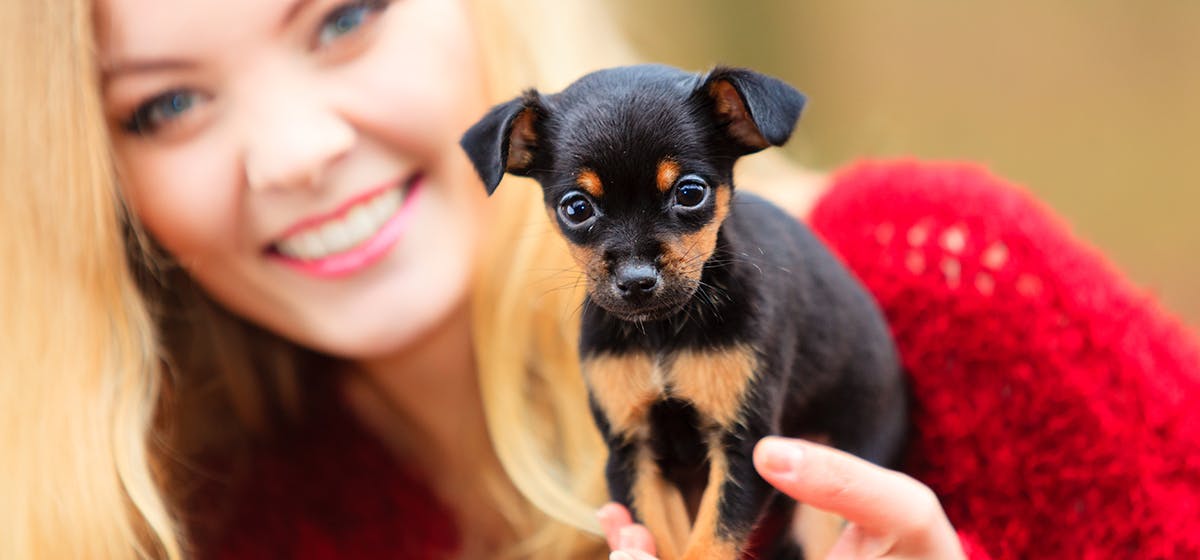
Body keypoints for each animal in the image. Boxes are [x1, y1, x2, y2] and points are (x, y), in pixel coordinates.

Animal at [460, 63, 907, 558]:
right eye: (576, 208)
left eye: (690, 193)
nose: (637, 280)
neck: (663, 332)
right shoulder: (635, 453)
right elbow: (665, 538)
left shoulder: (743, 446)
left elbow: (709, 541)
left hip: (831, 488)